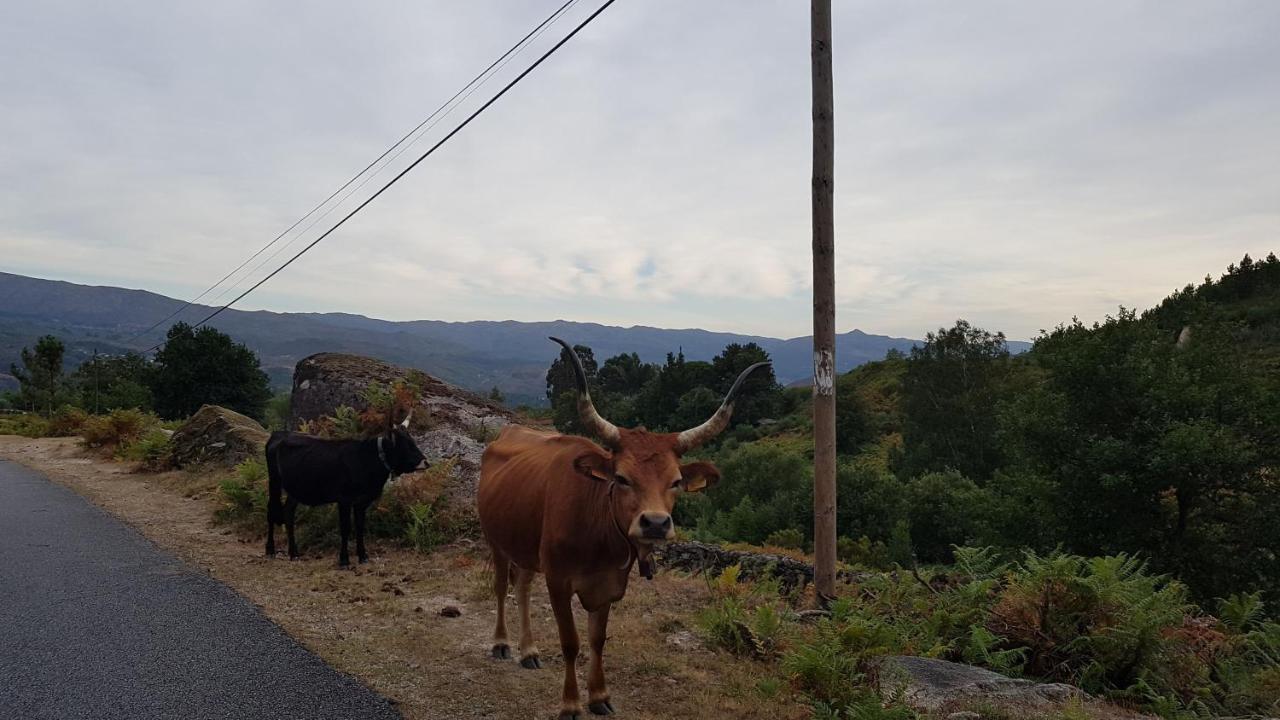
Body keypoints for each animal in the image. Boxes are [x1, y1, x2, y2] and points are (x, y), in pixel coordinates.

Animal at [263, 415, 424, 566]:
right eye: (404, 444)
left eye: (412, 440)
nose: (425, 462)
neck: (366, 459)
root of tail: (279, 433)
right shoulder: (344, 500)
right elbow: (346, 528)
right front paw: (344, 560)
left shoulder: (362, 501)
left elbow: (360, 526)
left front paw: (363, 556)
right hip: (274, 481)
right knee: (271, 511)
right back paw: (270, 550)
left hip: (295, 489)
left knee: (288, 513)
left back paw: (294, 553)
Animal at [476, 335, 762, 717]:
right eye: (622, 478)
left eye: (675, 481)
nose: (655, 523)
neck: (598, 538)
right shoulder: (558, 580)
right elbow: (571, 642)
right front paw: (571, 703)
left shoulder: (609, 584)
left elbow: (597, 640)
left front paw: (599, 696)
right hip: (496, 541)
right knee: (500, 588)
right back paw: (502, 643)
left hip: (525, 545)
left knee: (521, 587)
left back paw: (529, 651)